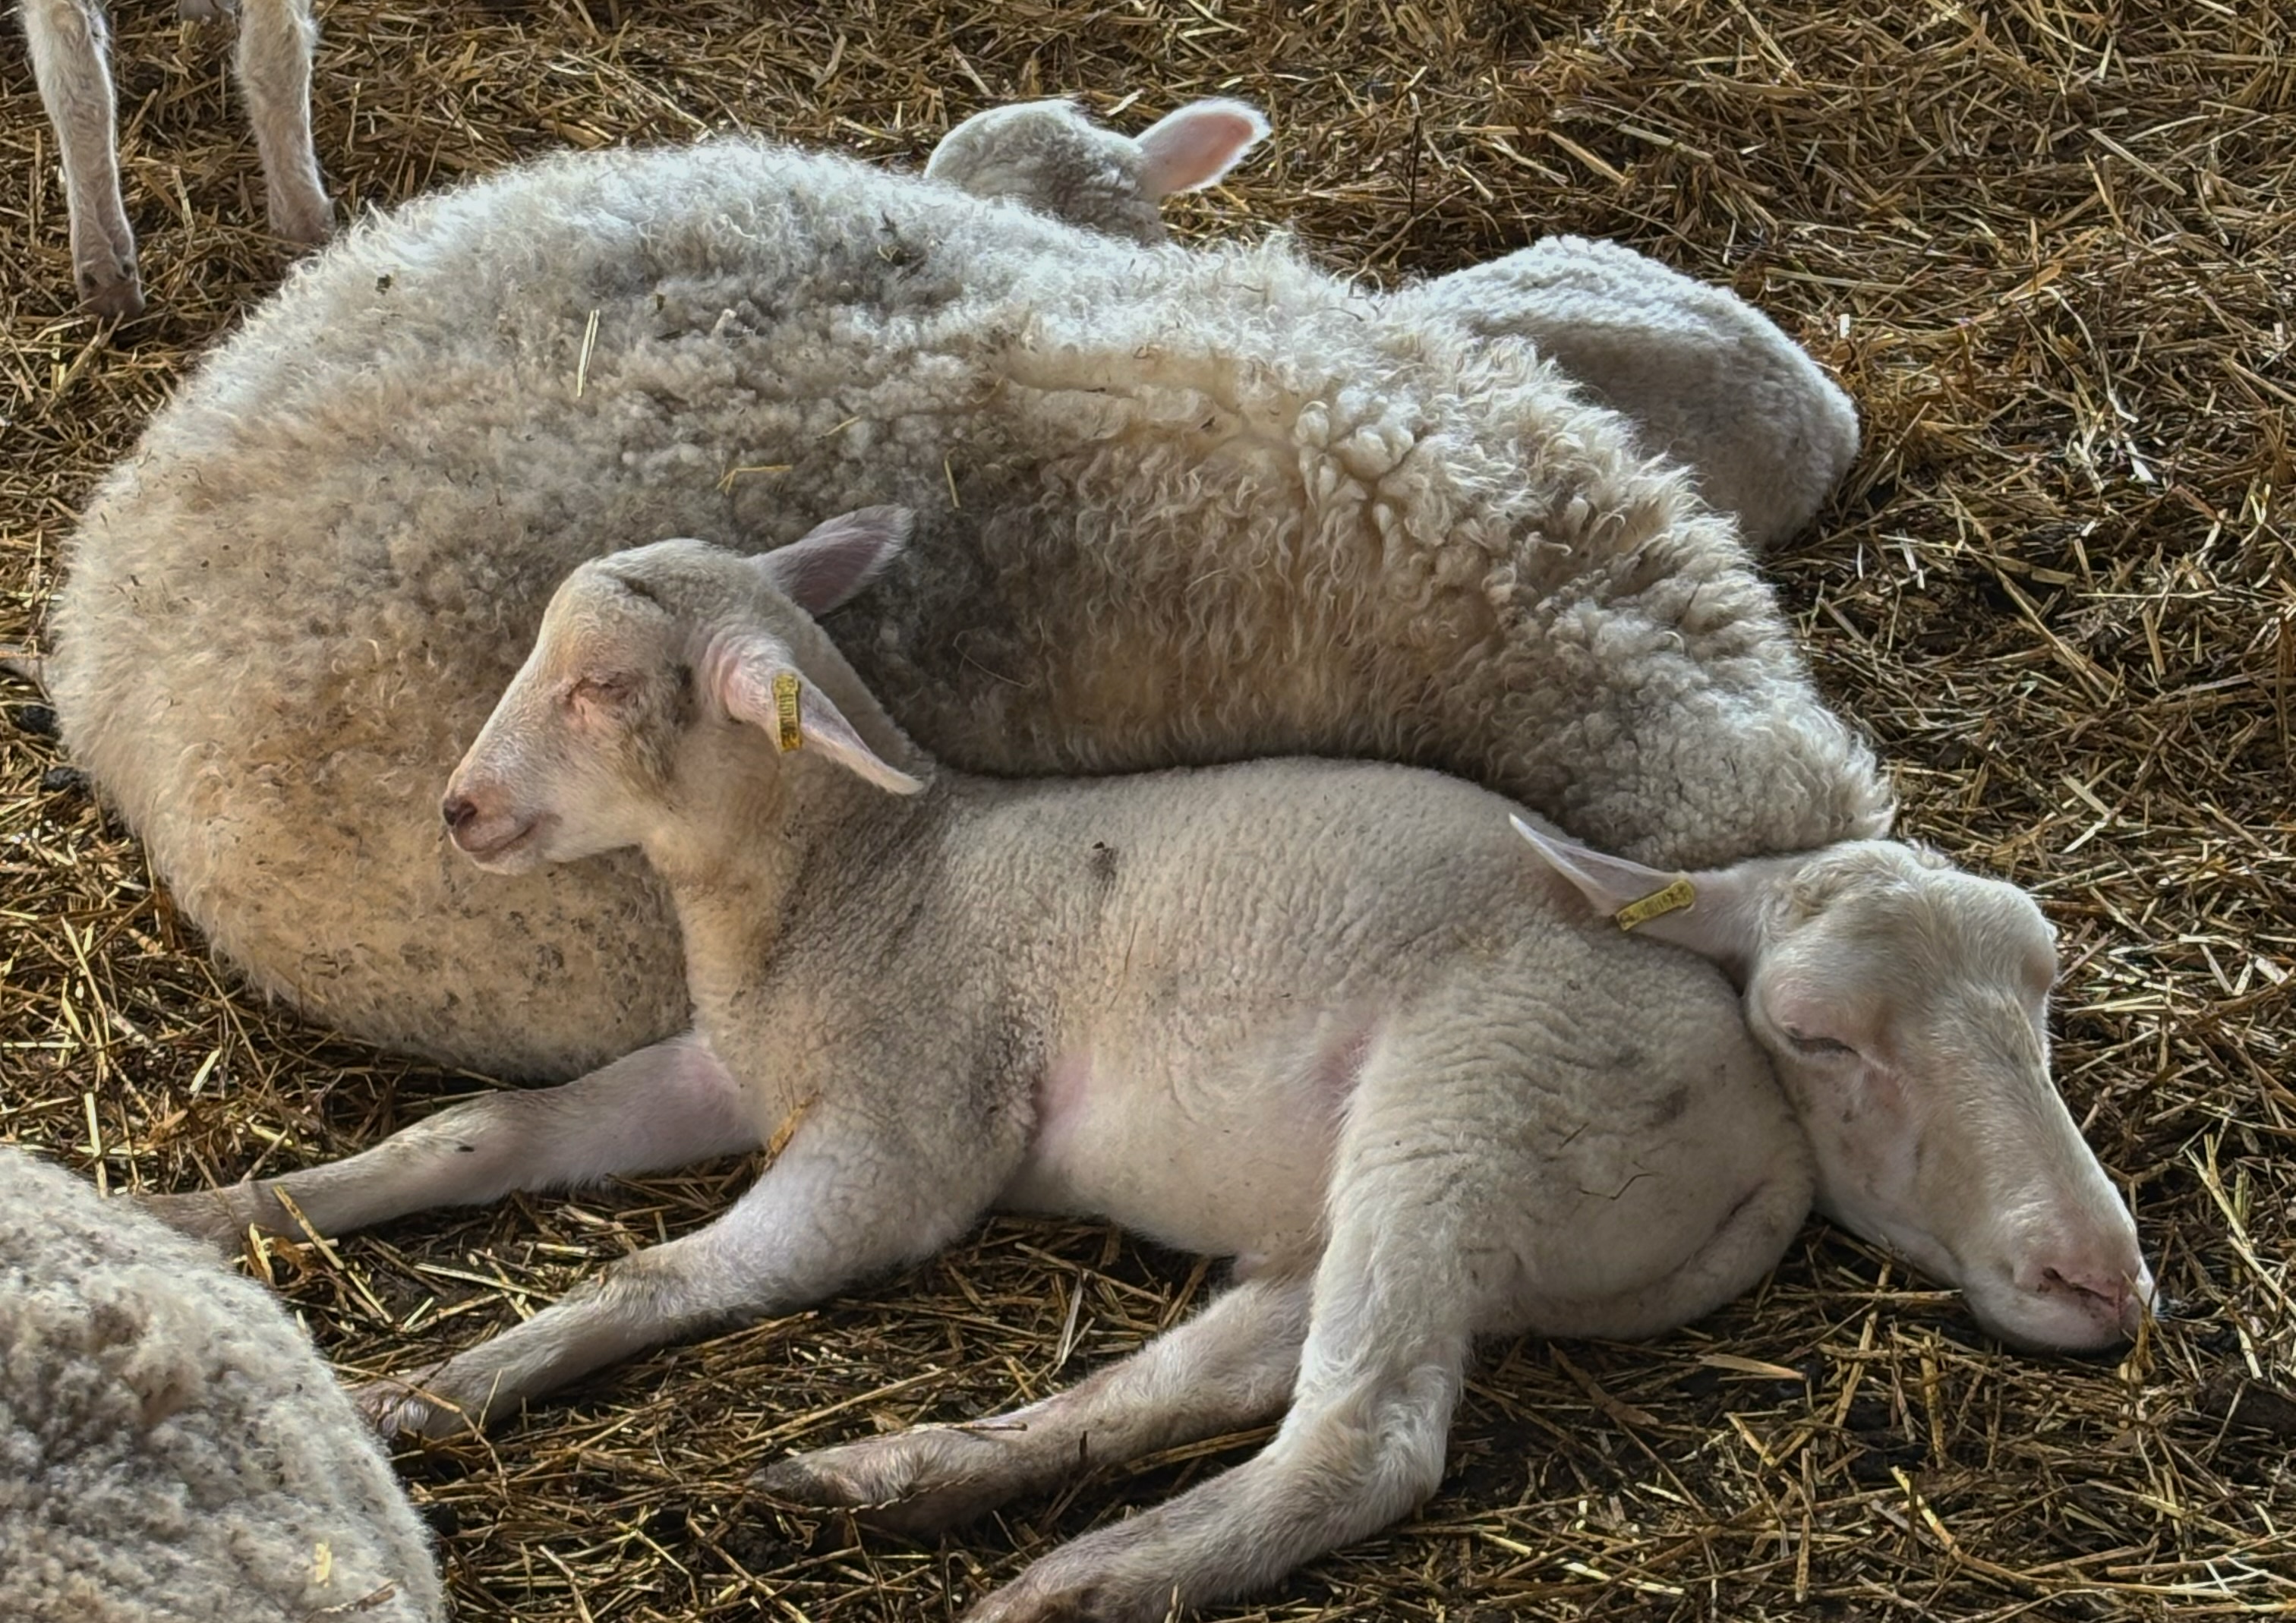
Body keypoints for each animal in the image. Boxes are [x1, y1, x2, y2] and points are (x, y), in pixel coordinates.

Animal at [142, 515, 2144, 1619]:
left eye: (602, 693)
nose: (460, 812)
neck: (863, 879)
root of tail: (1757, 1133)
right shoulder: (733, 1067)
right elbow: (485, 1125)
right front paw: (218, 1211)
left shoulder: (905, 1129)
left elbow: (657, 1270)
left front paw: (435, 1390)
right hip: (1417, 1206)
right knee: (1209, 1367)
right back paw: (904, 1481)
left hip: (1474, 1100)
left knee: (1362, 1435)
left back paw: (1082, 1578)